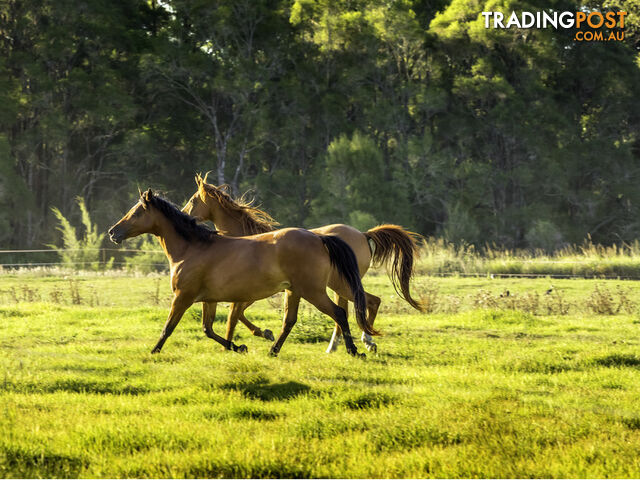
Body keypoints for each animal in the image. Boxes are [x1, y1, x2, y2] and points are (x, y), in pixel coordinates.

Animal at [108, 188, 378, 356]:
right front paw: (239, 347)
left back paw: (355, 350)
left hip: (316, 290)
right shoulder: (209, 299)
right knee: (290, 321)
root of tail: (320, 238)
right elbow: (209, 329)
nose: (113, 232)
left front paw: (153, 351)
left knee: (340, 313)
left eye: (136, 212)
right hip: (296, 291)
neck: (192, 248)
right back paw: (273, 351)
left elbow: (169, 327)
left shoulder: (183, 297)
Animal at [184, 175, 424, 352]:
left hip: (337, 285)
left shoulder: (248, 292)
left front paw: (238, 343)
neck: (245, 239)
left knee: (362, 304)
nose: (185, 215)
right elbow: (239, 316)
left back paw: (364, 342)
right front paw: (262, 334)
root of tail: (364, 235)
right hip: (337, 285)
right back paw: (343, 345)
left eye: (193, 200)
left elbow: (234, 317)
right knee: (359, 306)